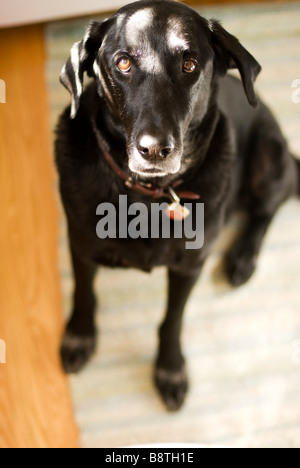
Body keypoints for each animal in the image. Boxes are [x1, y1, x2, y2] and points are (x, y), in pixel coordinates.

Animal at [55, 0, 298, 410]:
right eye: (123, 62)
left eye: (190, 64)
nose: (155, 149)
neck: (148, 194)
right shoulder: (81, 244)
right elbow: (84, 294)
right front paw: (79, 336)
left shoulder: (189, 266)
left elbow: (173, 319)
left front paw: (170, 369)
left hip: (269, 157)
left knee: (269, 205)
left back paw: (242, 259)